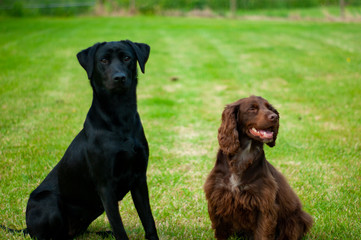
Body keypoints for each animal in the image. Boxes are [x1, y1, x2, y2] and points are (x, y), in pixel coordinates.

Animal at [10, 40, 158, 239]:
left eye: (127, 58)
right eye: (103, 60)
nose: (119, 78)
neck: (120, 117)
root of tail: (26, 228)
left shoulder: (139, 178)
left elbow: (149, 221)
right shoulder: (105, 185)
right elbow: (119, 226)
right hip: (48, 201)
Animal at [204, 96, 310, 240]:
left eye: (270, 108)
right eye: (252, 108)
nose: (275, 117)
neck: (243, 157)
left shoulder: (265, 205)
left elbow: (262, 234)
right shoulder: (217, 198)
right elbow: (221, 231)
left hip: (294, 220)